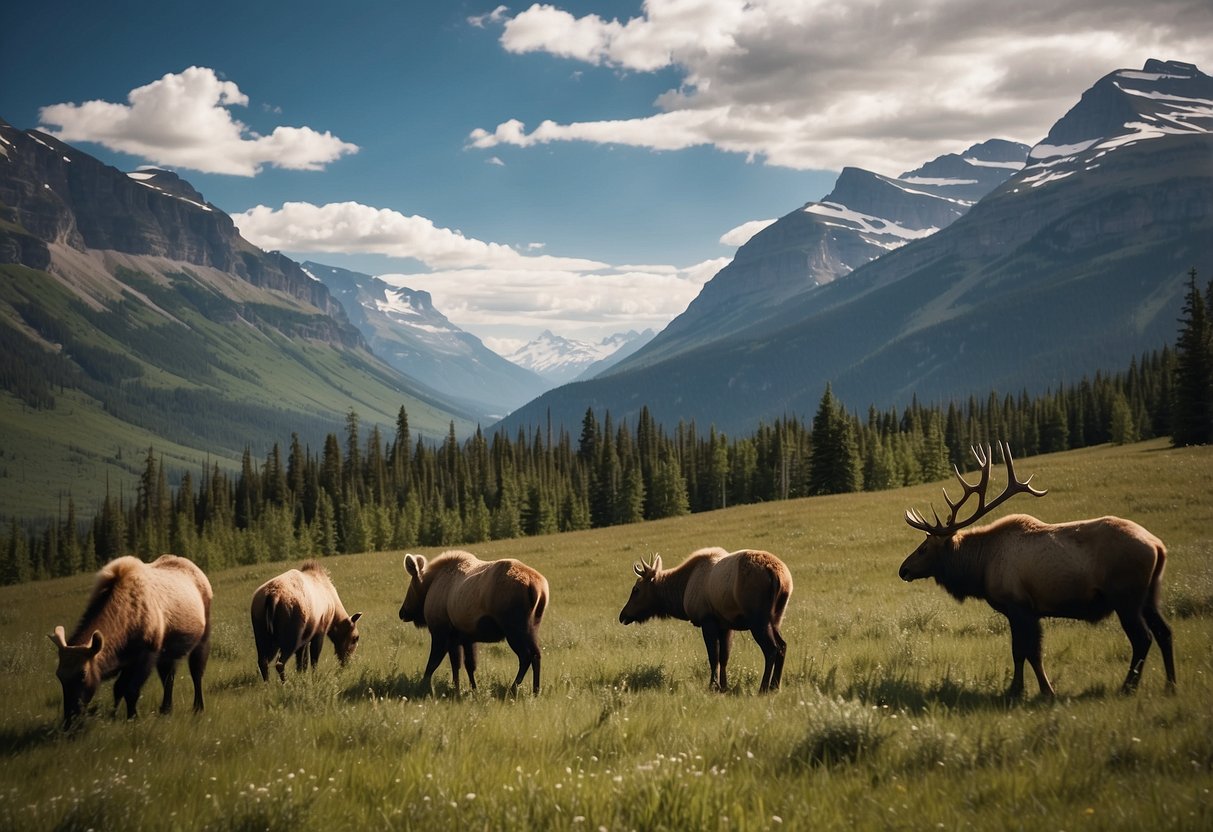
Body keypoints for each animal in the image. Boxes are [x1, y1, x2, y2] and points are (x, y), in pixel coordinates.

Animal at [49, 560, 213, 727]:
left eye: (83, 673)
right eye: (59, 674)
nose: (69, 721)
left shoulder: (146, 655)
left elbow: (131, 690)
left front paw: (132, 717)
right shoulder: (127, 660)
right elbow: (118, 688)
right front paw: (113, 715)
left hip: (202, 639)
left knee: (196, 673)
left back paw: (198, 707)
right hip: (168, 653)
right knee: (168, 677)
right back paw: (166, 709)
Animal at [397, 553, 550, 698]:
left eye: (410, 586)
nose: (402, 612)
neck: (430, 586)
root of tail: (537, 588)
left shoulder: (441, 631)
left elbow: (434, 663)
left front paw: (424, 687)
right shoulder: (465, 638)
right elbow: (467, 665)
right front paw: (470, 689)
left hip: (514, 628)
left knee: (526, 655)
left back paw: (513, 688)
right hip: (532, 627)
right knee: (536, 654)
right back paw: (536, 690)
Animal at [616, 550, 795, 693]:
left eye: (636, 589)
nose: (622, 615)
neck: (682, 592)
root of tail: (778, 574)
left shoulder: (708, 620)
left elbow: (713, 657)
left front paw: (713, 686)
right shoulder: (726, 625)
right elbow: (724, 657)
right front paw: (724, 686)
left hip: (758, 621)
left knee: (772, 649)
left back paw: (764, 688)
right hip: (776, 618)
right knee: (783, 645)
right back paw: (775, 686)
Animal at [902, 439, 1174, 698]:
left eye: (924, 548)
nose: (902, 569)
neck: (980, 567)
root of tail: (1157, 546)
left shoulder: (1019, 606)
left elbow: (1027, 652)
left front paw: (1036, 690)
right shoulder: (1025, 610)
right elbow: (1022, 653)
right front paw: (1022, 688)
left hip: (1125, 596)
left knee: (1143, 638)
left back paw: (1128, 687)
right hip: (1149, 595)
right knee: (1164, 632)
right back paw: (1170, 684)